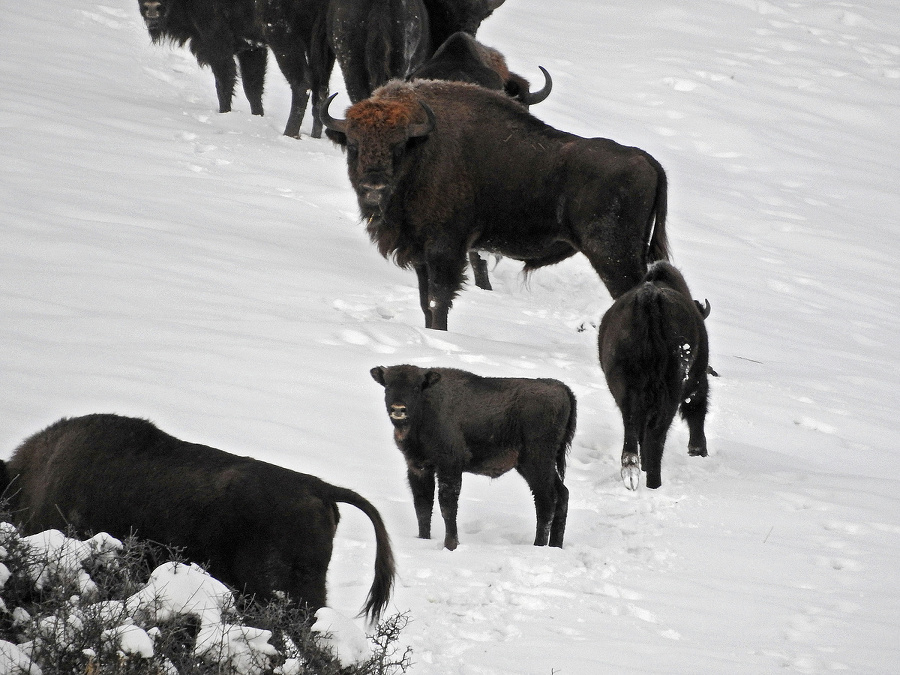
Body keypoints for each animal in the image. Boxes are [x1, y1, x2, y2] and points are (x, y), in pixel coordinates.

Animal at [141, 0, 334, 137]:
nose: (151, 7)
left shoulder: (217, 43)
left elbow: (224, 84)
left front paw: (224, 113)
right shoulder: (252, 49)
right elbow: (252, 88)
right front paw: (257, 116)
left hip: (283, 40)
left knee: (302, 83)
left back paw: (289, 134)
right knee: (321, 90)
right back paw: (314, 135)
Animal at [322, 80, 668, 332]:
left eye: (398, 146)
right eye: (353, 145)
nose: (373, 189)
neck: (423, 150)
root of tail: (646, 160)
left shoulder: (445, 249)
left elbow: (438, 299)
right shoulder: (420, 252)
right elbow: (424, 300)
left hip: (613, 255)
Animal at [370, 368, 576, 552]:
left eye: (416, 387)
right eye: (387, 386)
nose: (398, 409)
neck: (426, 406)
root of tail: (562, 388)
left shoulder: (449, 465)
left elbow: (447, 505)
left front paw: (450, 545)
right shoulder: (419, 467)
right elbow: (422, 506)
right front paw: (423, 539)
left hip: (537, 462)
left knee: (546, 500)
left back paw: (538, 546)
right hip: (533, 466)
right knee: (562, 494)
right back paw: (555, 546)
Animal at [596, 260, 712, 492]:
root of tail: (648, 301)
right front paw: (698, 450)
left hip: (626, 391)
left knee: (633, 431)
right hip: (670, 395)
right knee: (656, 437)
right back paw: (654, 482)